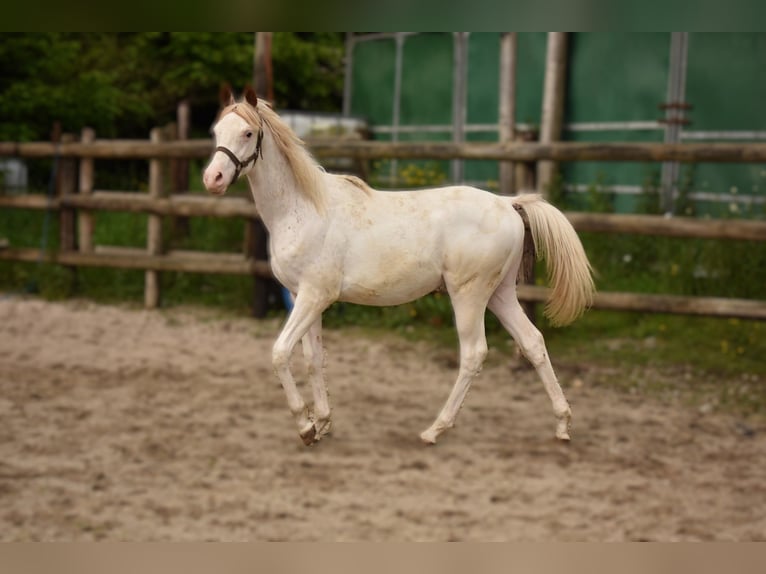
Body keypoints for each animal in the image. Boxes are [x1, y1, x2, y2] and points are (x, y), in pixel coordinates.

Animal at [202, 86, 592, 446]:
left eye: (248, 133)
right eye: (217, 130)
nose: (212, 179)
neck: (303, 208)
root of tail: (508, 204)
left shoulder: (315, 296)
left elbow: (281, 353)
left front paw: (305, 426)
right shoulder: (303, 296)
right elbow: (314, 358)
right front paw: (323, 422)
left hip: (469, 295)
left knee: (474, 354)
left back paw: (434, 430)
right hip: (500, 294)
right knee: (533, 342)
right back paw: (562, 425)